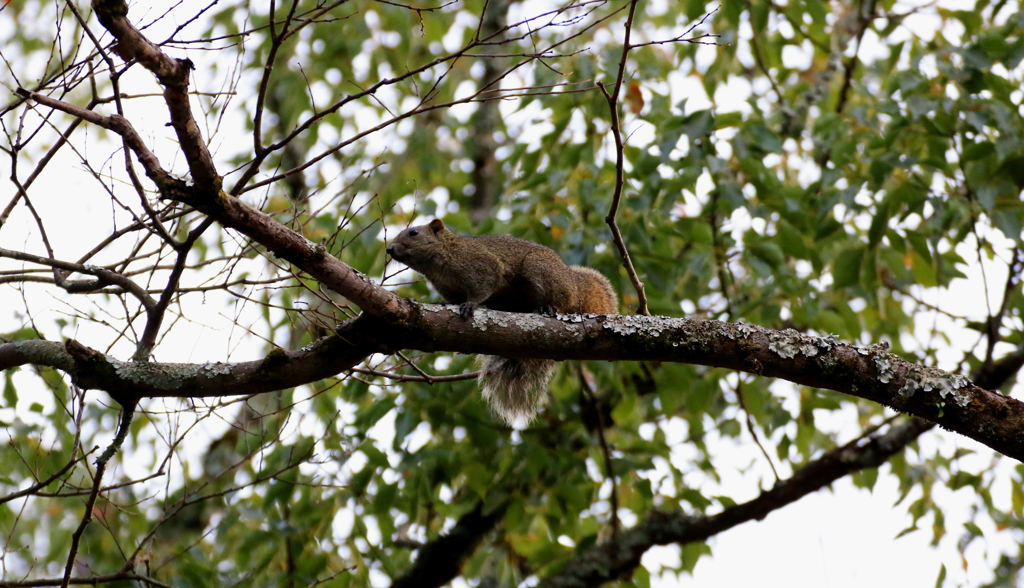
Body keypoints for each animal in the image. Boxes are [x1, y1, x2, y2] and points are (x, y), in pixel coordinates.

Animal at [387, 219, 618, 426]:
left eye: (414, 232)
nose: (389, 249)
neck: (441, 258)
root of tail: (575, 285)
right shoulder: (447, 287)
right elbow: (452, 299)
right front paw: (444, 303)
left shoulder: (482, 267)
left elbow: (483, 287)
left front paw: (470, 305)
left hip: (540, 270)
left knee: (562, 301)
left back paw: (549, 308)